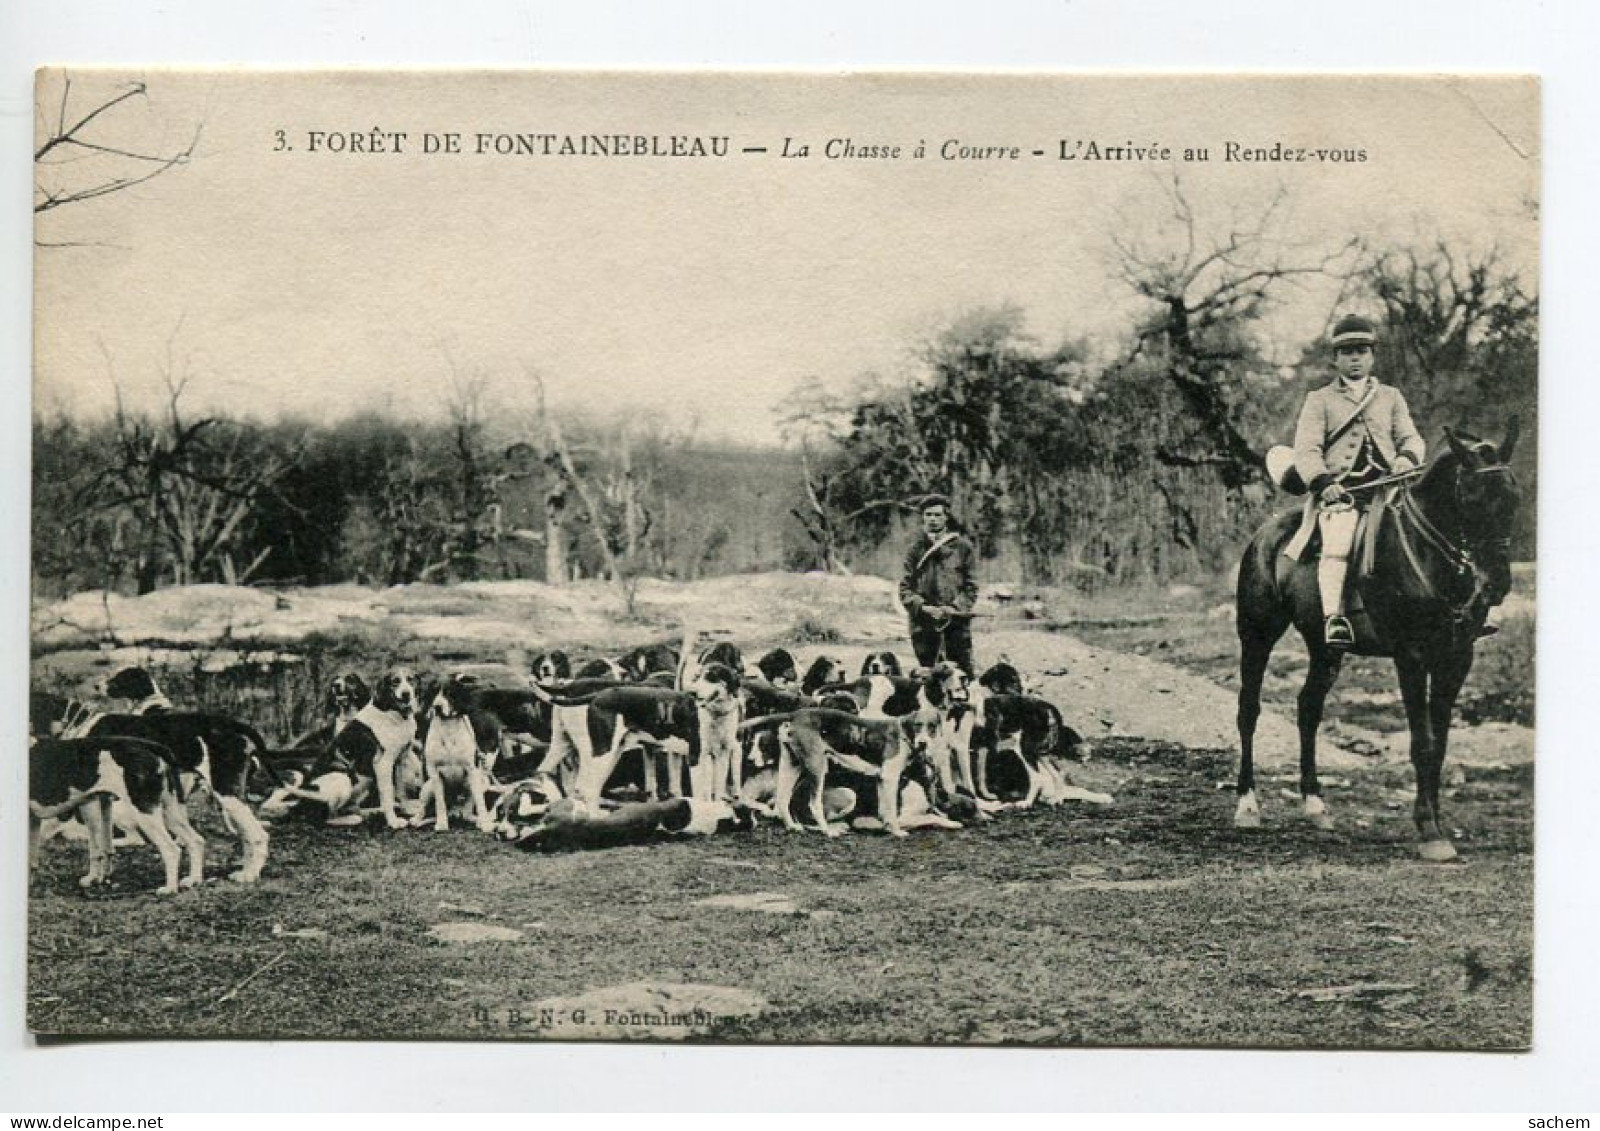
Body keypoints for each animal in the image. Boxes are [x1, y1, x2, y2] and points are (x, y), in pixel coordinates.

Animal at [1235, 419, 1523, 863]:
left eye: (1513, 498)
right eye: (1470, 498)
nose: (1496, 584)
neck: (1428, 555)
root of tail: (1265, 534)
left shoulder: (1456, 658)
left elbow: (1439, 744)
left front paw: (1435, 822)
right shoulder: (1412, 657)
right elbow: (1422, 742)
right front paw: (1429, 831)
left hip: (1325, 650)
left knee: (1308, 709)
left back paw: (1315, 804)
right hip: (1257, 635)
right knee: (1249, 710)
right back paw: (1247, 805)